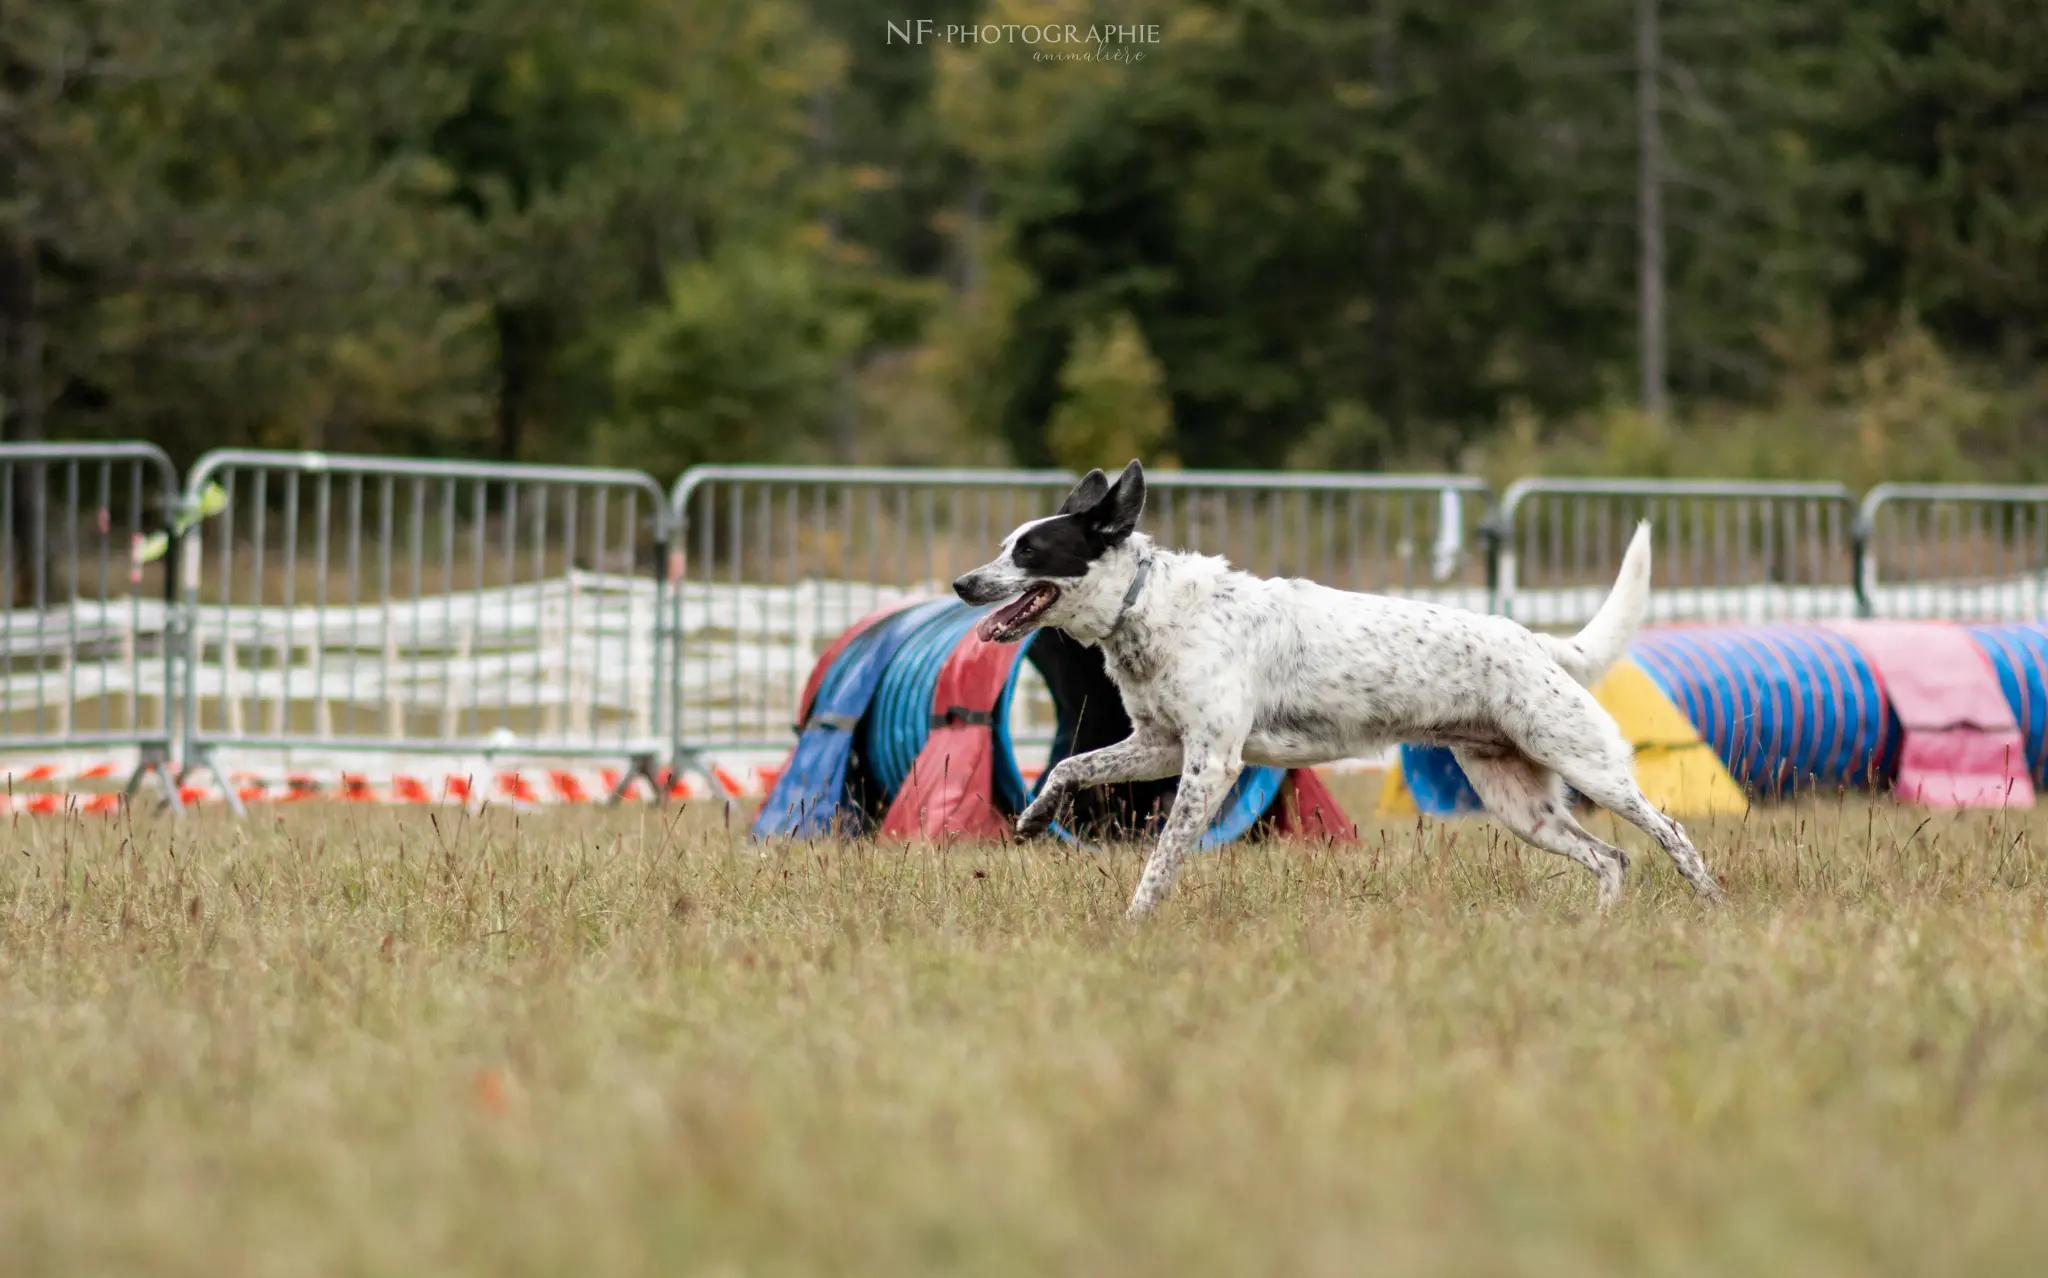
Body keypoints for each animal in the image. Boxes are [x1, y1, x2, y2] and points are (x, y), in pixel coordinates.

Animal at [950, 458, 1720, 917]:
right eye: (1003, 545)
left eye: (1029, 551)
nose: (960, 583)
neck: (1144, 607)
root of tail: (1533, 639)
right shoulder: (1159, 746)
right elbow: (1070, 766)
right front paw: (1032, 817)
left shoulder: (1211, 764)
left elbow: (1163, 857)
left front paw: (1137, 920)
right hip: (1520, 805)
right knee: (1611, 857)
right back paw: (1599, 927)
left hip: (1587, 764)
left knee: (1670, 833)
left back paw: (1713, 903)